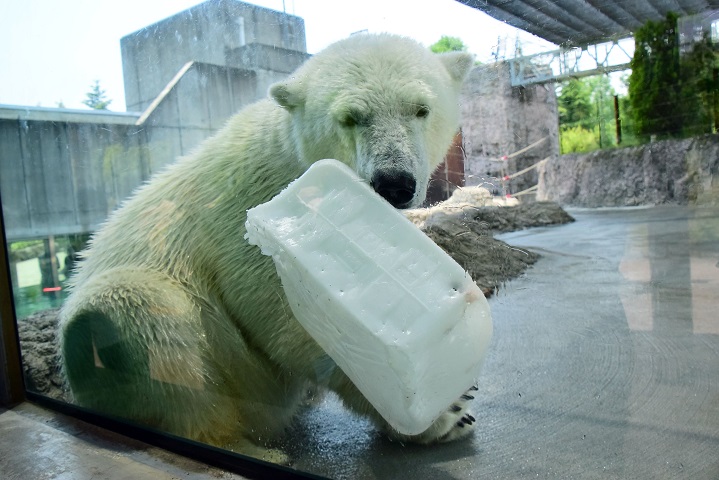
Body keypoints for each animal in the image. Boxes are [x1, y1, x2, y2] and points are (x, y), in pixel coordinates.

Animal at [59, 33, 478, 462]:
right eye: (350, 117)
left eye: (420, 109)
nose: (394, 183)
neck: (298, 159)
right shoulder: (255, 211)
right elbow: (290, 319)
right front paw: (442, 414)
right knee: (133, 314)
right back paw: (251, 449)